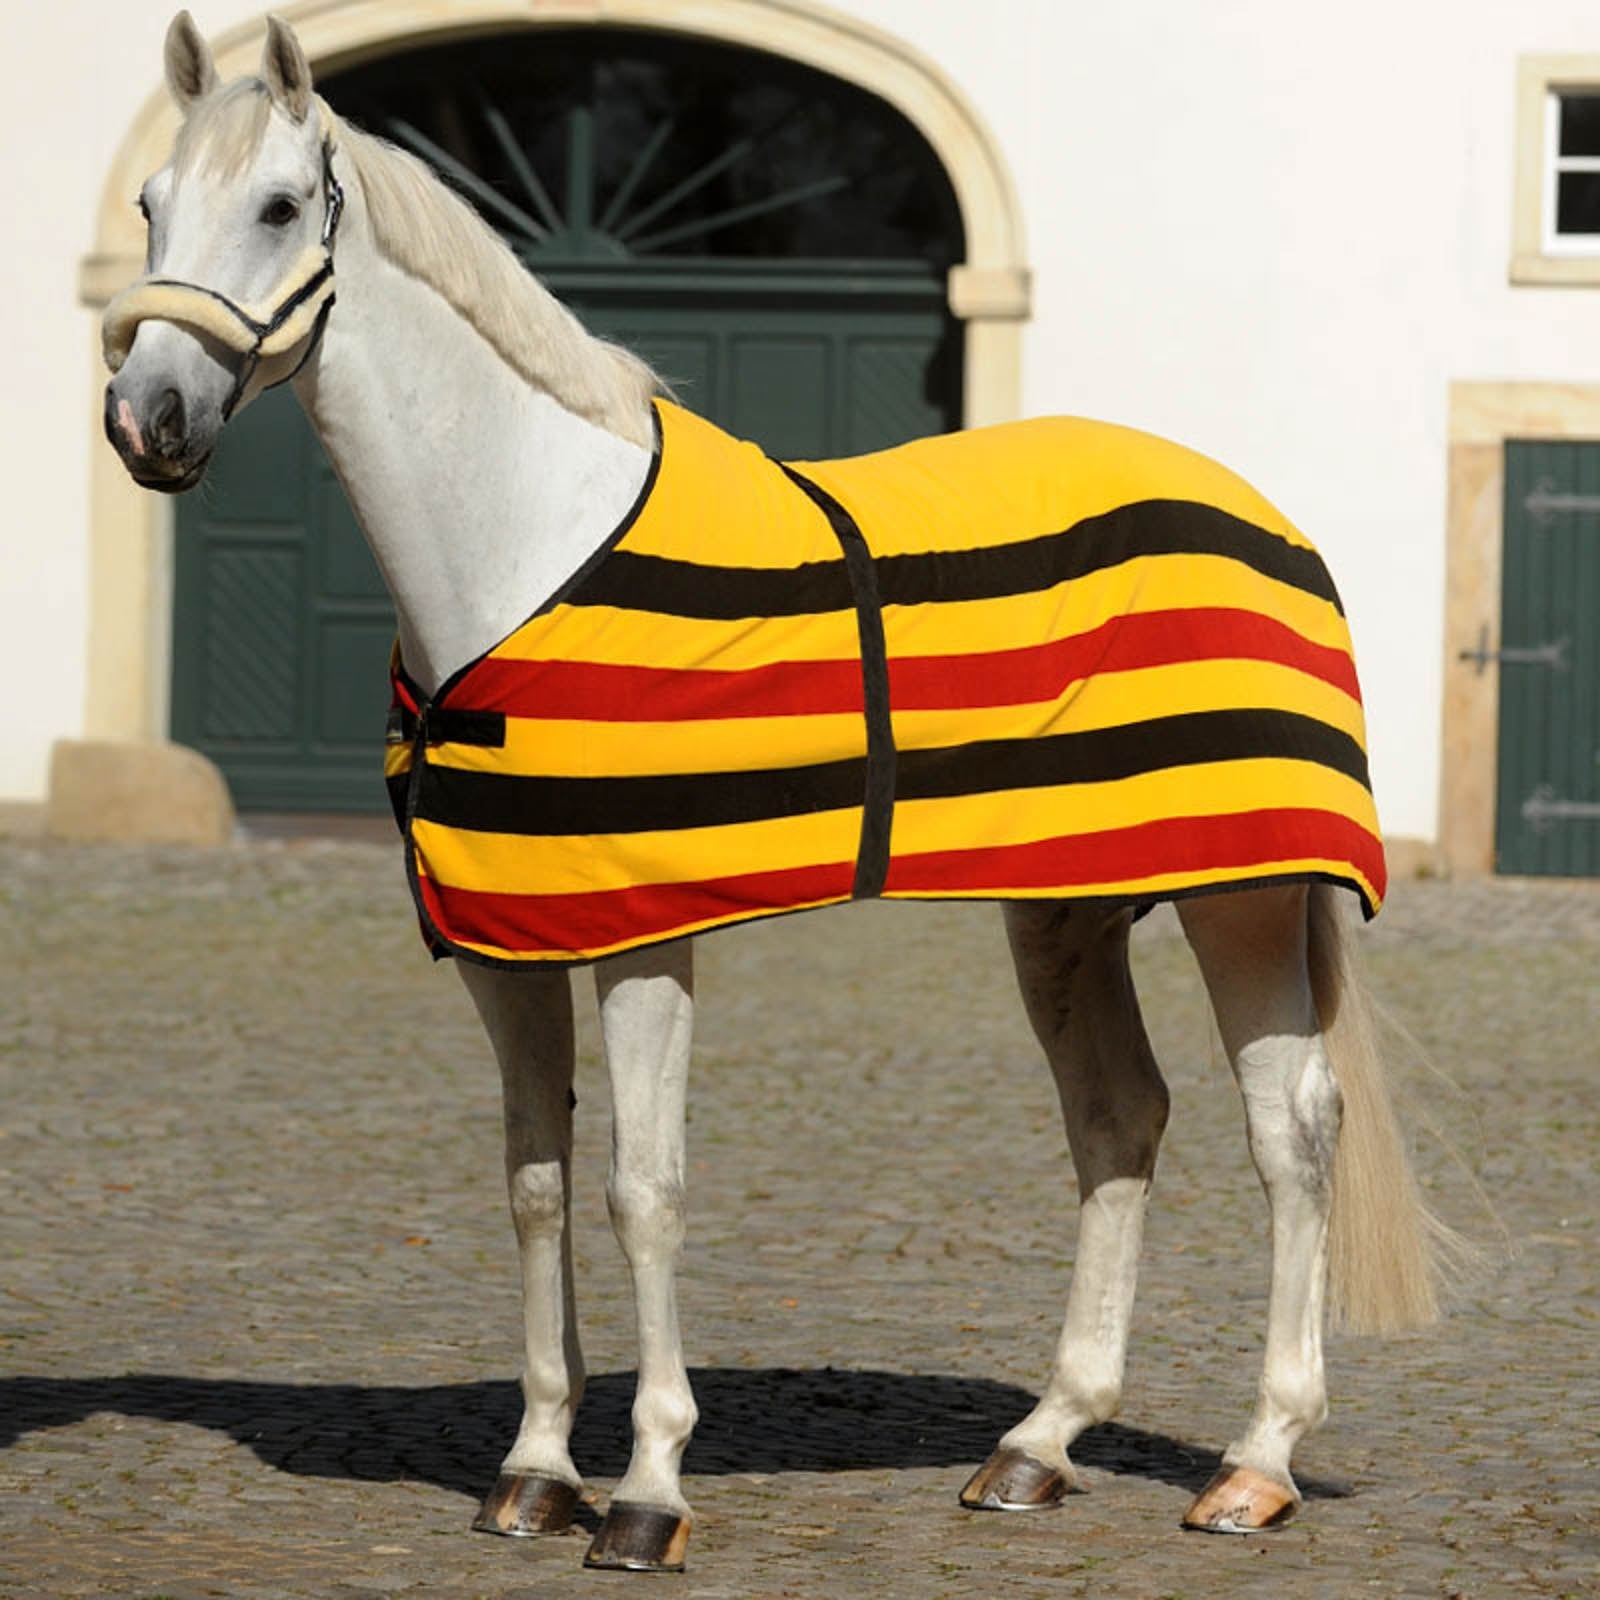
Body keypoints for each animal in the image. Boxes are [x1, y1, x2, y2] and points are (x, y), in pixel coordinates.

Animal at [100, 11, 1445, 1573]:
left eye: (274, 207)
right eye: (149, 206)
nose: (148, 418)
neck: (526, 546)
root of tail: (1262, 512)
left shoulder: (642, 943)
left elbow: (643, 1188)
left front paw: (647, 1493)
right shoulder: (507, 950)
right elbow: (534, 1180)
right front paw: (534, 1470)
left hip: (1242, 893)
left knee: (1291, 1135)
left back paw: (1255, 1463)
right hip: (1066, 907)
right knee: (1120, 1116)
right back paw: (1038, 1446)